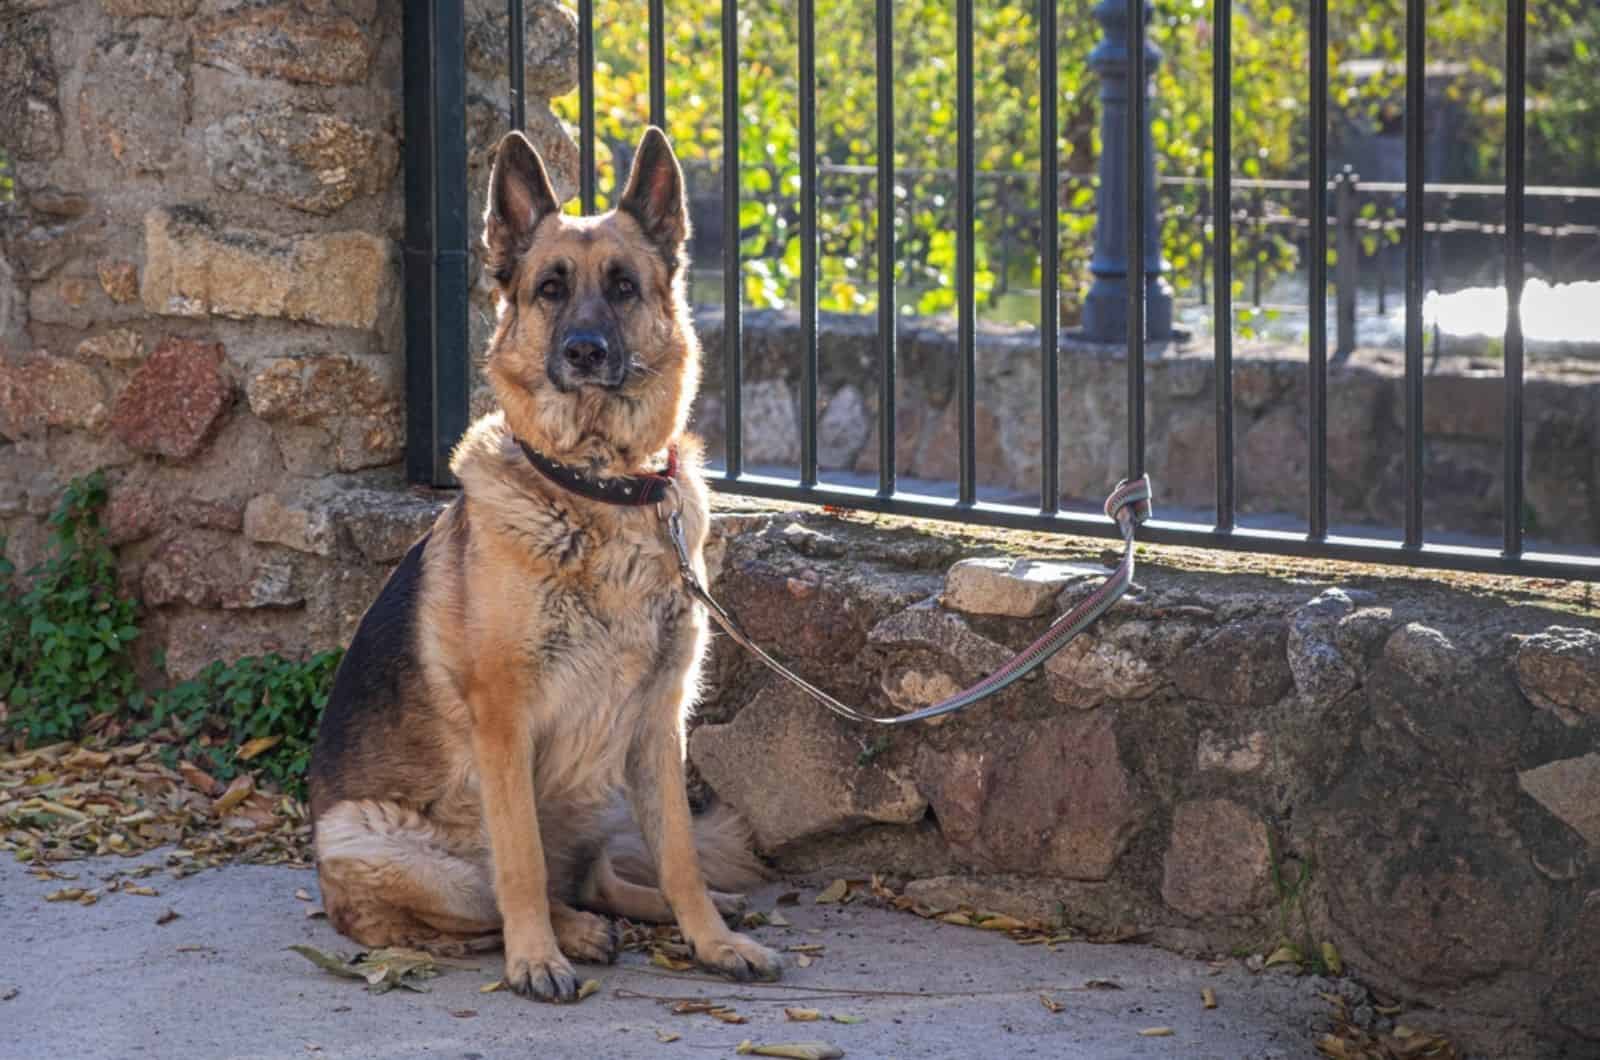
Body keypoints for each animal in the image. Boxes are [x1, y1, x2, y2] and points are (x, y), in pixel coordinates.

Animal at [305, 128, 780, 999]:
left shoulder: (661, 723)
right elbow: (519, 862)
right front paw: (537, 958)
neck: (599, 489)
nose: (586, 352)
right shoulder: (505, 721)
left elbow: (680, 858)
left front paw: (713, 940)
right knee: (494, 897)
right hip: (381, 841)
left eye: (624, 287)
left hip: (598, 798)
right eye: (550, 289)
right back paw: (571, 934)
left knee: (599, 877)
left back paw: (666, 913)